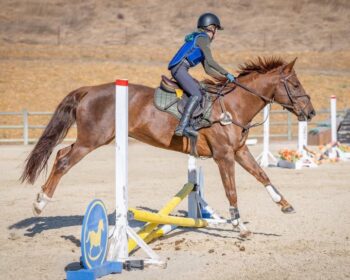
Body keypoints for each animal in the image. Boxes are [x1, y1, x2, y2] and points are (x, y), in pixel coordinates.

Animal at [20, 58, 316, 237]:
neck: (233, 105)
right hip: (93, 140)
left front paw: (285, 204)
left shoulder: (240, 151)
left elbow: (262, 174)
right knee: (63, 161)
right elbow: (231, 190)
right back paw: (40, 204)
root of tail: (89, 89)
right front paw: (239, 226)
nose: (310, 112)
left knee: (60, 153)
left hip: (92, 139)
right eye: (295, 84)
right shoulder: (224, 156)